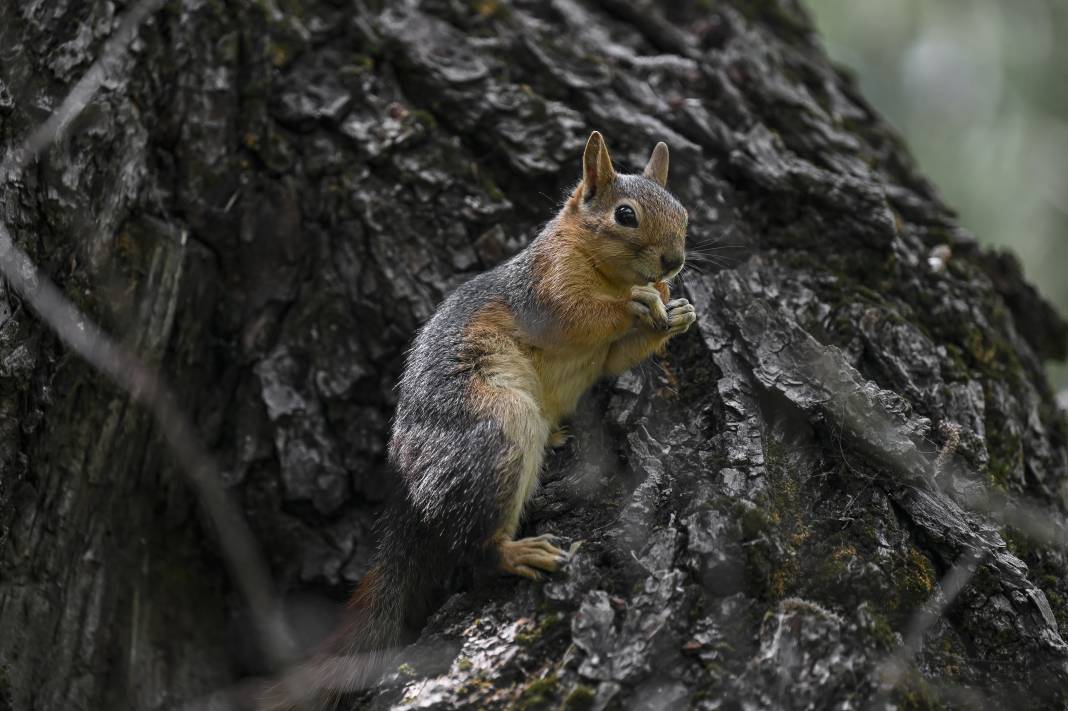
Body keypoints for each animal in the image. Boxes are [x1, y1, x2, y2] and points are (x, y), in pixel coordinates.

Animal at [257, 130, 692, 704]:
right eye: (625, 215)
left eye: (684, 212)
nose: (673, 262)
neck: (606, 271)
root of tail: (409, 494)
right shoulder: (545, 291)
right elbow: (580, 315)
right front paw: (640, 302)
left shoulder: (607, 353)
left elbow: (617, 357)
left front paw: (678, 312)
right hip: (494, 430)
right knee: (471, 548)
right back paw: (514, 553)